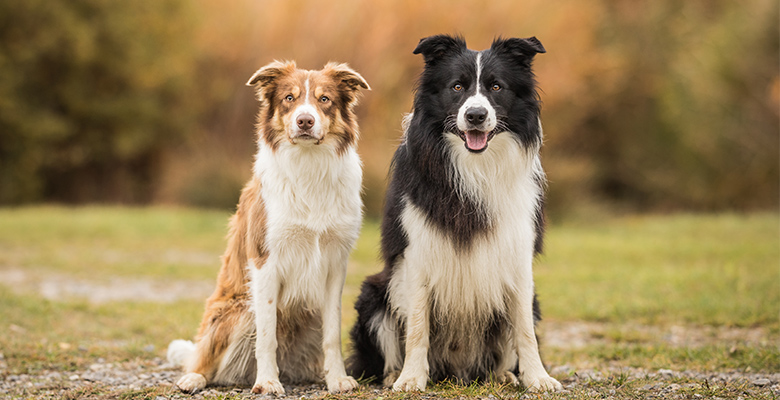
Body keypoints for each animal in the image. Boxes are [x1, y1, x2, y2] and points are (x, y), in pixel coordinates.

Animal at [165, 61, 372, 396]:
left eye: (324, 99)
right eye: (289, 98)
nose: (305, 120)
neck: (308, 165)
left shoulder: (335, 264)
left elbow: (332, 334)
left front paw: (337, 379)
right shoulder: (265, 262)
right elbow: (266, 335)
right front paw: (267, 382)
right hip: (237, 311)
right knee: (205, 358)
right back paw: (195, 378)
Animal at [348, 33, 560, 390]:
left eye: (496, 87)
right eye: (457, 87)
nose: (475, 115)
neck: (476, 167)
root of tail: (456, 371)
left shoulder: (517, 253)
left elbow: (524, 331)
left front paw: (538, 378)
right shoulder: (417, 252)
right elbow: (417, 327)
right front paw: (411, 379)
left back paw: (504, 374)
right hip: (373, 295)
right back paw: (393, 374)